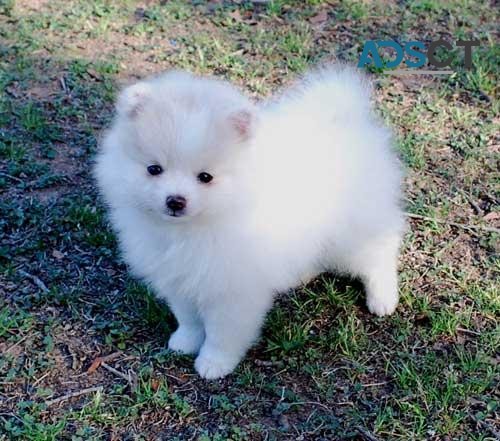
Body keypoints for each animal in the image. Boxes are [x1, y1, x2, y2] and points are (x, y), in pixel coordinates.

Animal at [94, 65, 406, 378]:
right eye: (154, 169)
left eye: (205, 177)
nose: (175, 201)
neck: (194, 229)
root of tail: (345, 117)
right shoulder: (180, 279)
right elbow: (188, 317)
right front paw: (185, 341)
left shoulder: (233, 290)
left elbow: (222, 333)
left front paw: (213, 363)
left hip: (354, 233)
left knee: (379, 253)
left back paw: (382, 298)